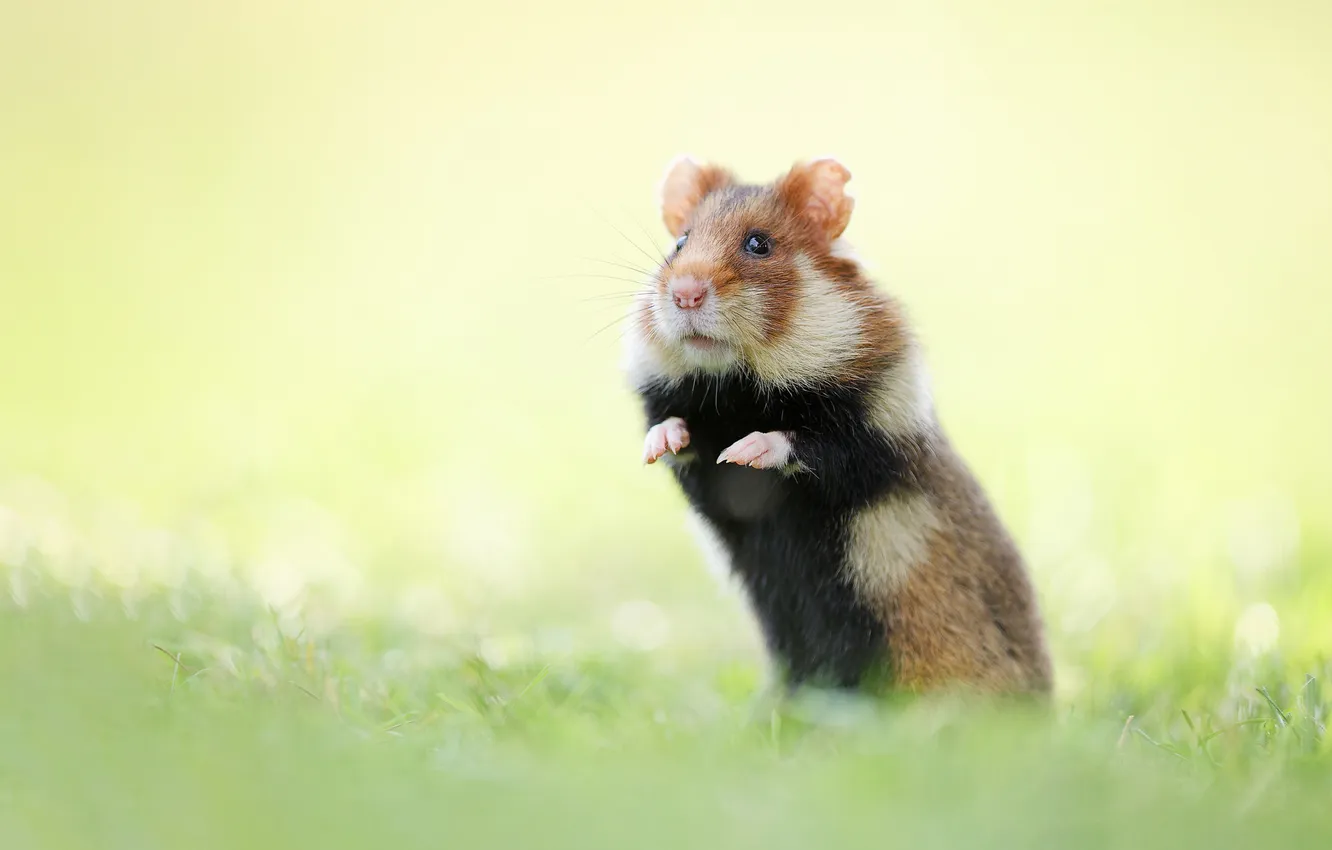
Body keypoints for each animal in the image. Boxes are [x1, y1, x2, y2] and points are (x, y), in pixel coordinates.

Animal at [621, 156, 1052, 695]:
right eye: (679, 243)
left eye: (759, 244)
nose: (684, 295)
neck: (741, 385)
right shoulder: (714, 485)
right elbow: (679, 434)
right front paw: (660, 443)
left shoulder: (873, 434)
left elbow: (808, 445)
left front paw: (745, 449)